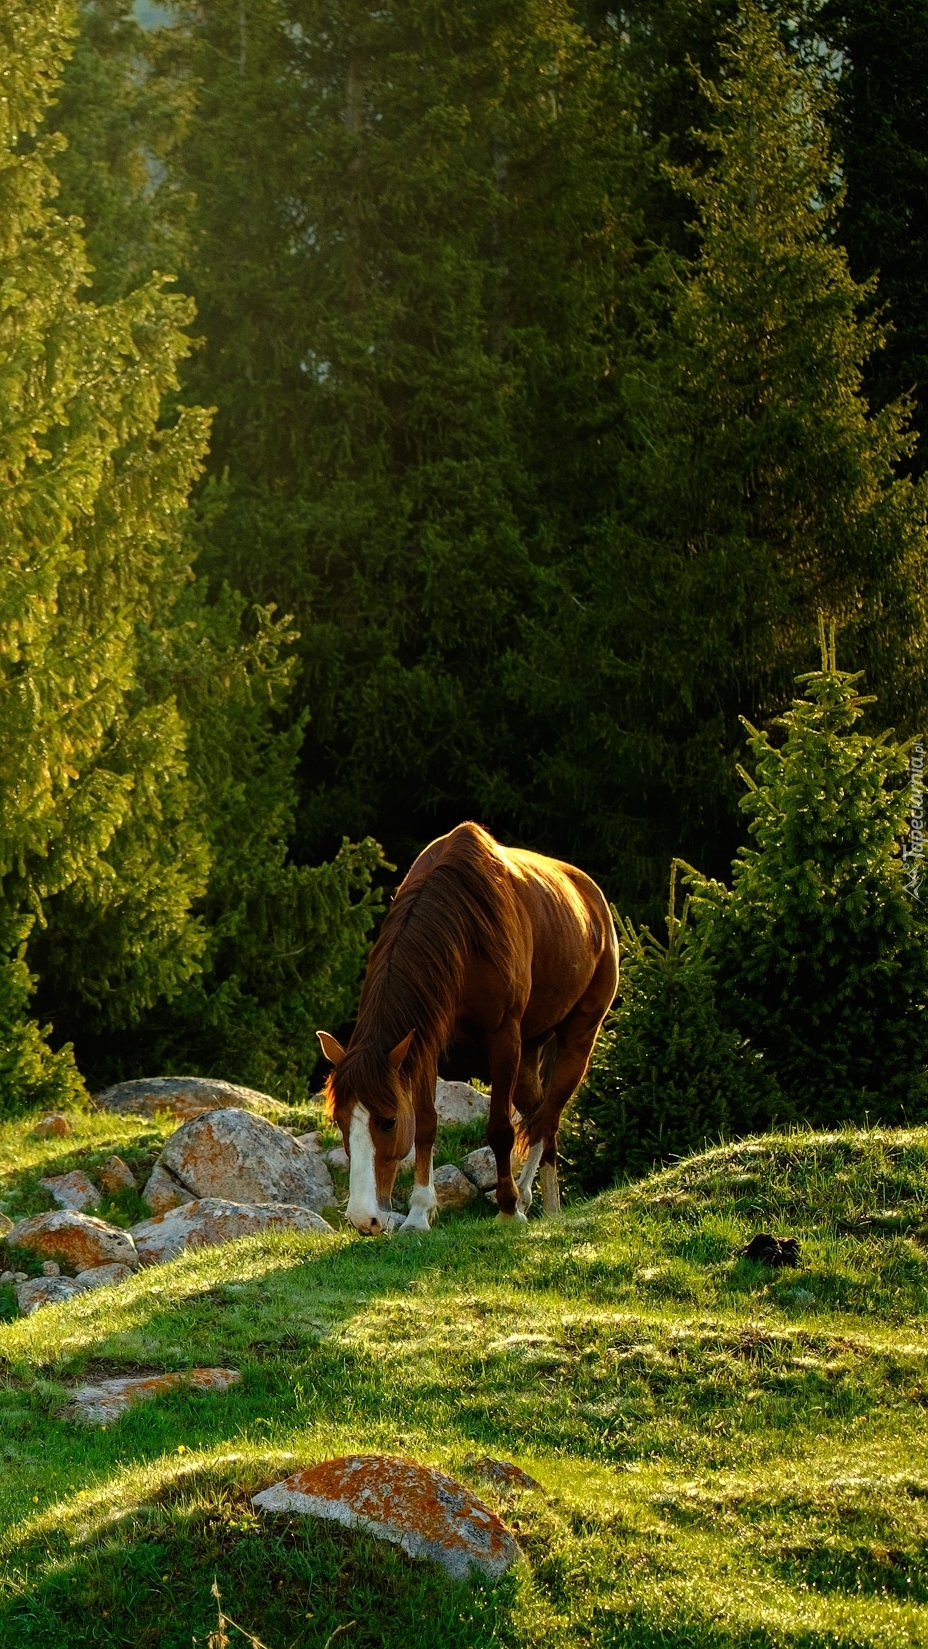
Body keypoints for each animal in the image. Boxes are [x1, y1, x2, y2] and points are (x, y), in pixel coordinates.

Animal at [318, 817, 616, 1233]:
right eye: (340, 1120)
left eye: (389, 1121)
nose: (365, 1219)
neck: (461, 918)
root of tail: (592, 897)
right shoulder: (423, 1041)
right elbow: (426, 1125)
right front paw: (419, 1214)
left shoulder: (503, 1036)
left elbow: (500, 1130)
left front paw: (507, 1209)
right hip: (531, 1051)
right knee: (539, 1117)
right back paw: (543, 1204)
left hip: (579, 1037)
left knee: (547, 1120)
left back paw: (530, 1200)